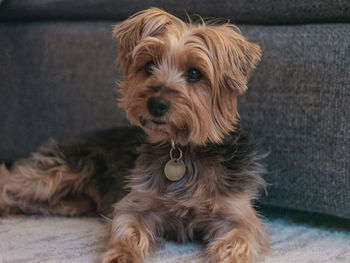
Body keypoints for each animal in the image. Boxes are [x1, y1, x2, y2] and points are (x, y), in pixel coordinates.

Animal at [0, 7, 270, 263]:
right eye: (149, 66)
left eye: (194, 74)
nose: (156, 104)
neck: (183, 149)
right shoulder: (137, 203)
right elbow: (127, 228)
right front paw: (121, 255)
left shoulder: (236, 213)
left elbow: (240, 238)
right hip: (60, 171)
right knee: (12, 181)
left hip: (71, 202)